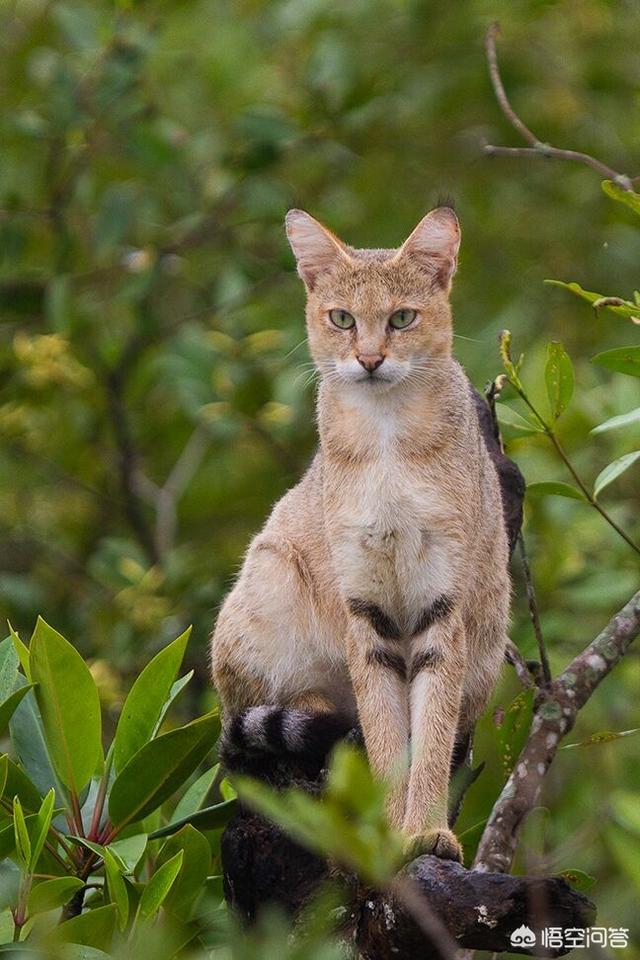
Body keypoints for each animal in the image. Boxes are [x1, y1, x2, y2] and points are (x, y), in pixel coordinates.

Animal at [210, 206, 510, 860]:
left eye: (402, 318)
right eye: (342, 318)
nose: (370, 359)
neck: (387, 439)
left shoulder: (441, 607)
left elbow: (429, 740)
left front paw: (426, 831)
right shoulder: (363, 612)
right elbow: (383, 735)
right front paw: (391, 832)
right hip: (267, 583)